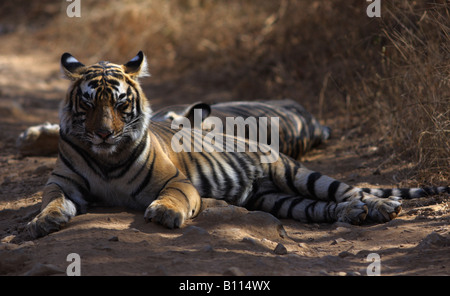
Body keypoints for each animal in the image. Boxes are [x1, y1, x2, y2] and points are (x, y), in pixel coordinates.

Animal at [26, 52, 448, 239]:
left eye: (118, 103)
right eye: (88, 103)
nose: (103, 134)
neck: (107, 157)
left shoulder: (177, 182)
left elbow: (172, 198)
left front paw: (164, 214)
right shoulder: (62, 184)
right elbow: (51, 200)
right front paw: (42, 222)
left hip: (296, 174)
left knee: (348, 190)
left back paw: (380, 207)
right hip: (278, 200)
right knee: (323, 208)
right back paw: (354, 214)